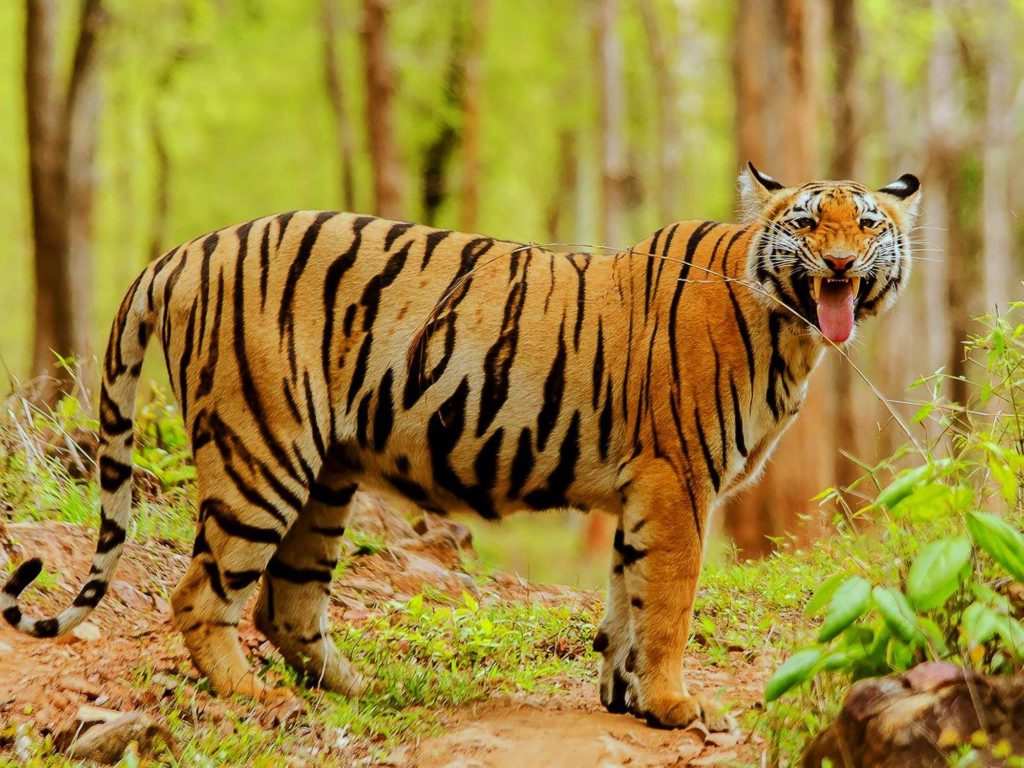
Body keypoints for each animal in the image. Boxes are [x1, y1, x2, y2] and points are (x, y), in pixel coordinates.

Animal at [0, 162, 921, 729]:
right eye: (808, 222)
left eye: (868, 223)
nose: (842, 265)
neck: (790, 331)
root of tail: (188, 249)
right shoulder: (677, 479)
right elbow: (670, 604)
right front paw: (673, 707)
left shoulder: (643, 493)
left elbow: (626, 598)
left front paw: (624, 696)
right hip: (263, 450)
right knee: (201, 594)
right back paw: (253, 694)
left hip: (325, 476)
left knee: (284, 601)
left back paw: (357, 690)